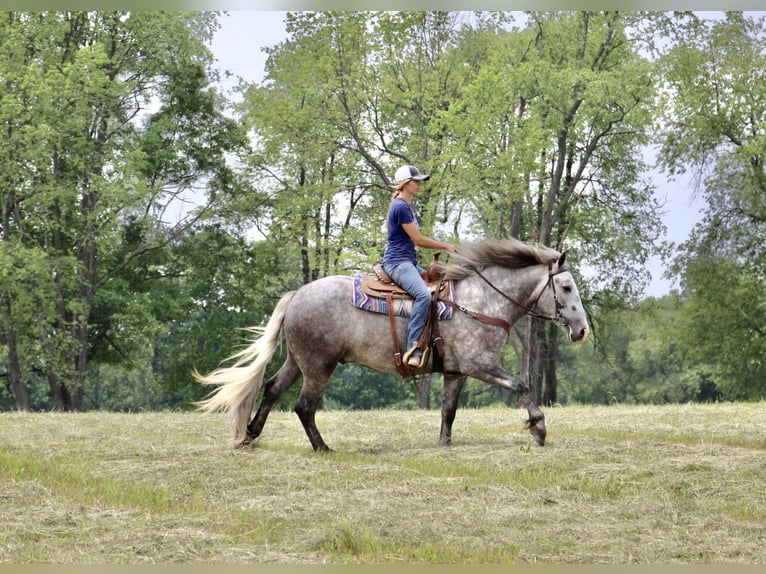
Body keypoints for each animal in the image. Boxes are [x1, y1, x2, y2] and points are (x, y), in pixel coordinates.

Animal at [195, 236, 592, 452]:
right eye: (566, 287)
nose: (582, 330)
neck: (479, 300)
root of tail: (297, 295)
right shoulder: (479, 365)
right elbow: (521, 385)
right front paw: (539, 428)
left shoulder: (456, 371)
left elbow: (448, 410)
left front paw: (444, 443)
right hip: (318, 367)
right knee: (304, 406)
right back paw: (322, 447)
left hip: (298, 361)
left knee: (272, 389)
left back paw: (250, 435)